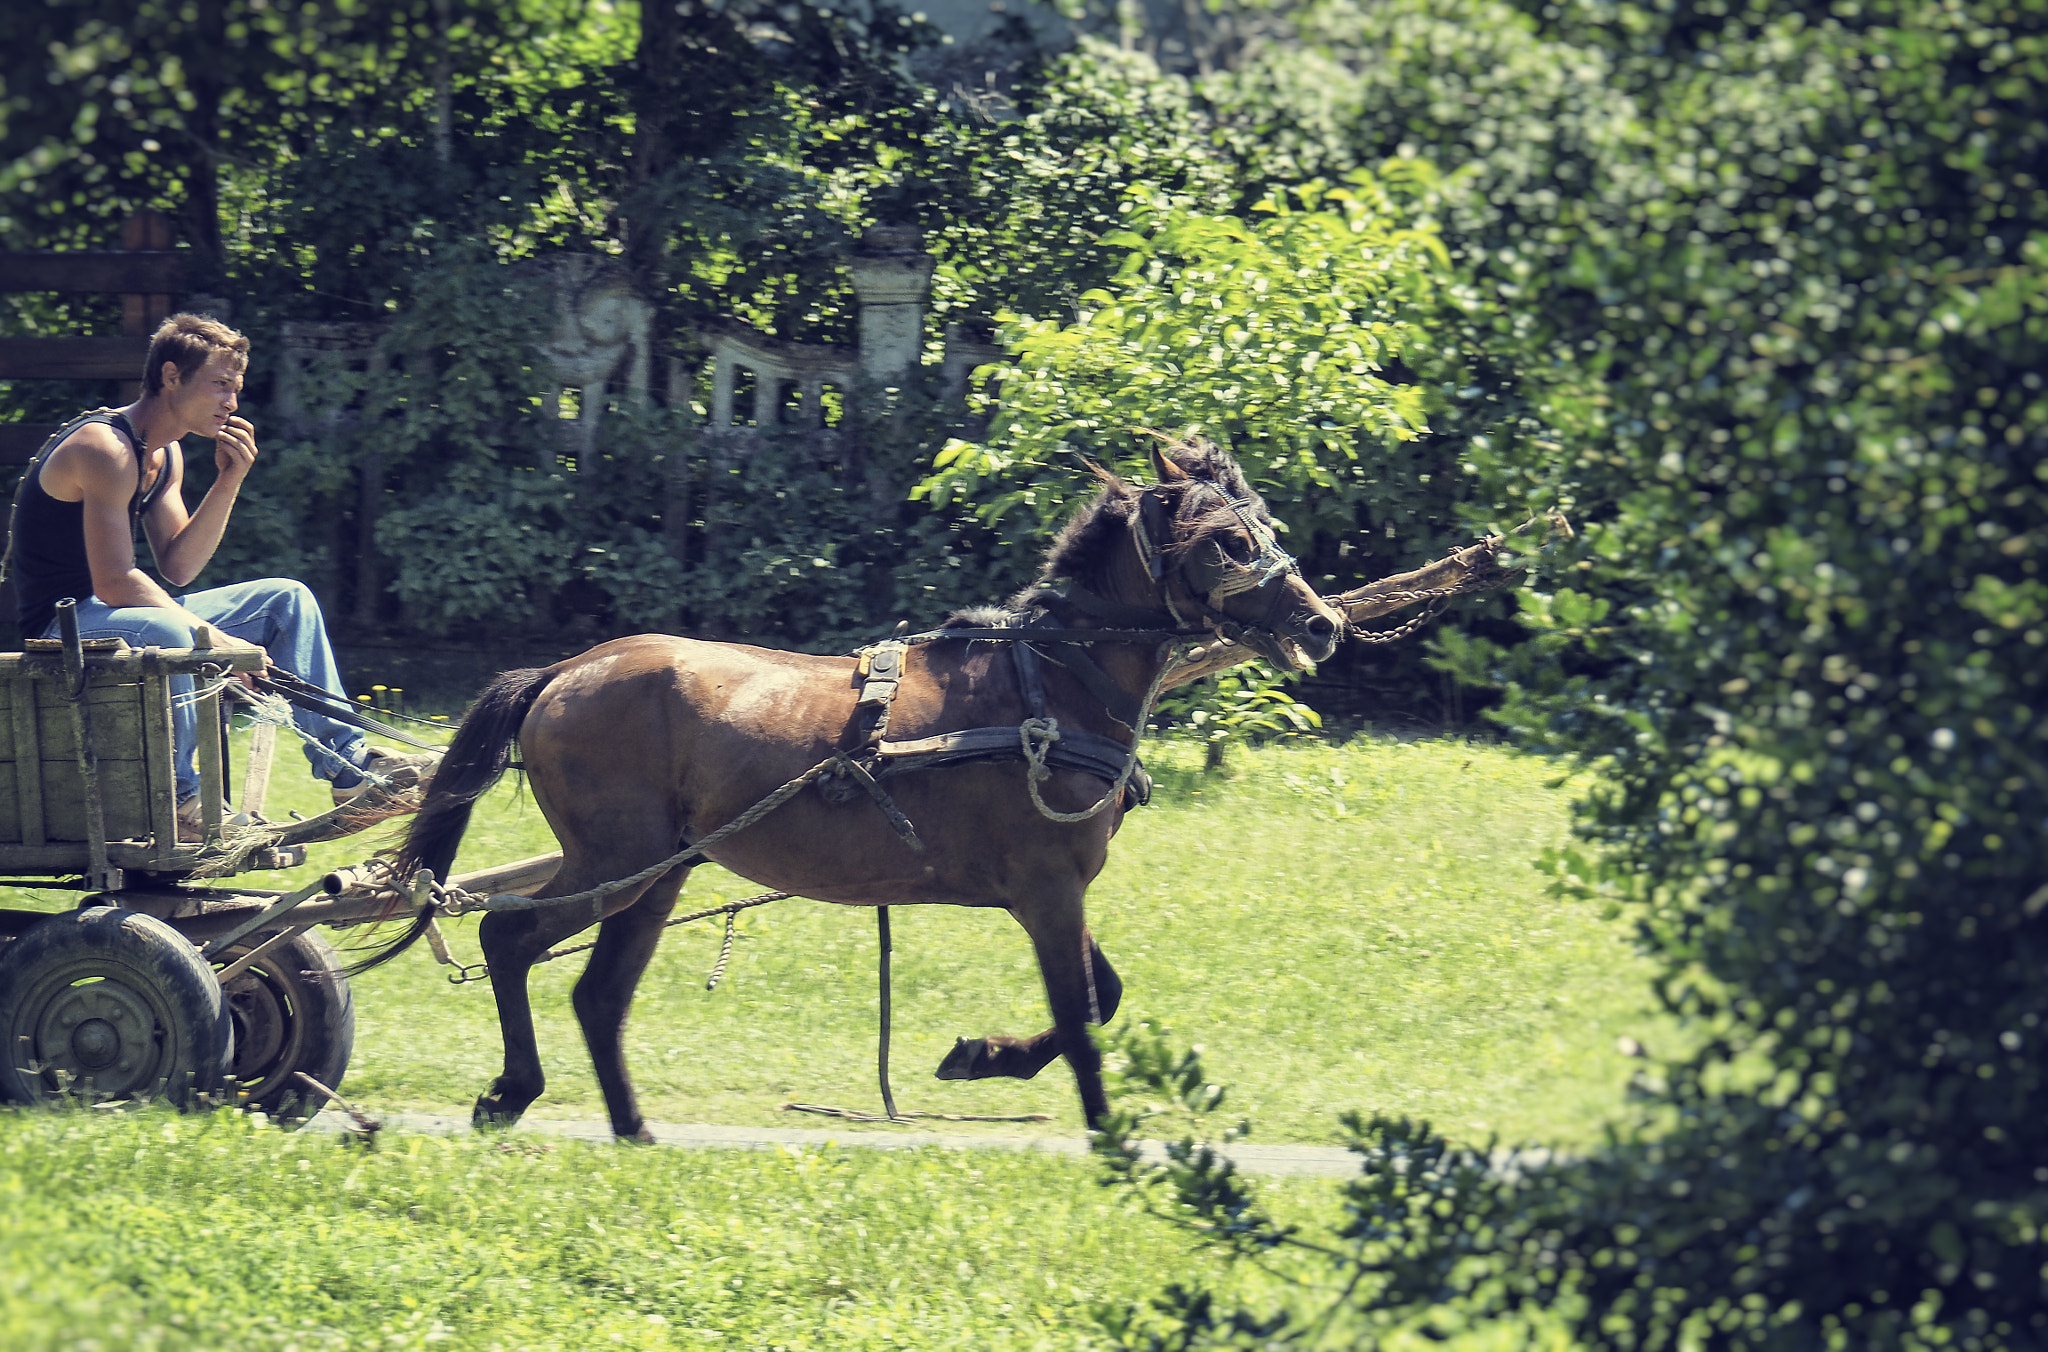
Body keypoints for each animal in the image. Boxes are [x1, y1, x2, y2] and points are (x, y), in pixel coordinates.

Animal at [388, 437, 1344, 1139]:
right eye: (1225, 542)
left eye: (1265, 524)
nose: (1322, 623)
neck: (1048, 684)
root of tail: (562, 673)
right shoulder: (1046, 887)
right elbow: (1079, 1016)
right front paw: (1108, 1136)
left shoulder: (1054, 889)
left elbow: (1100, 995)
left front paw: (982, 1055)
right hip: (616, 860)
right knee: (511, 941)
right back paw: (513, 1091)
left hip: (660, 873)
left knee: (598, 995)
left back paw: (631, 1128)